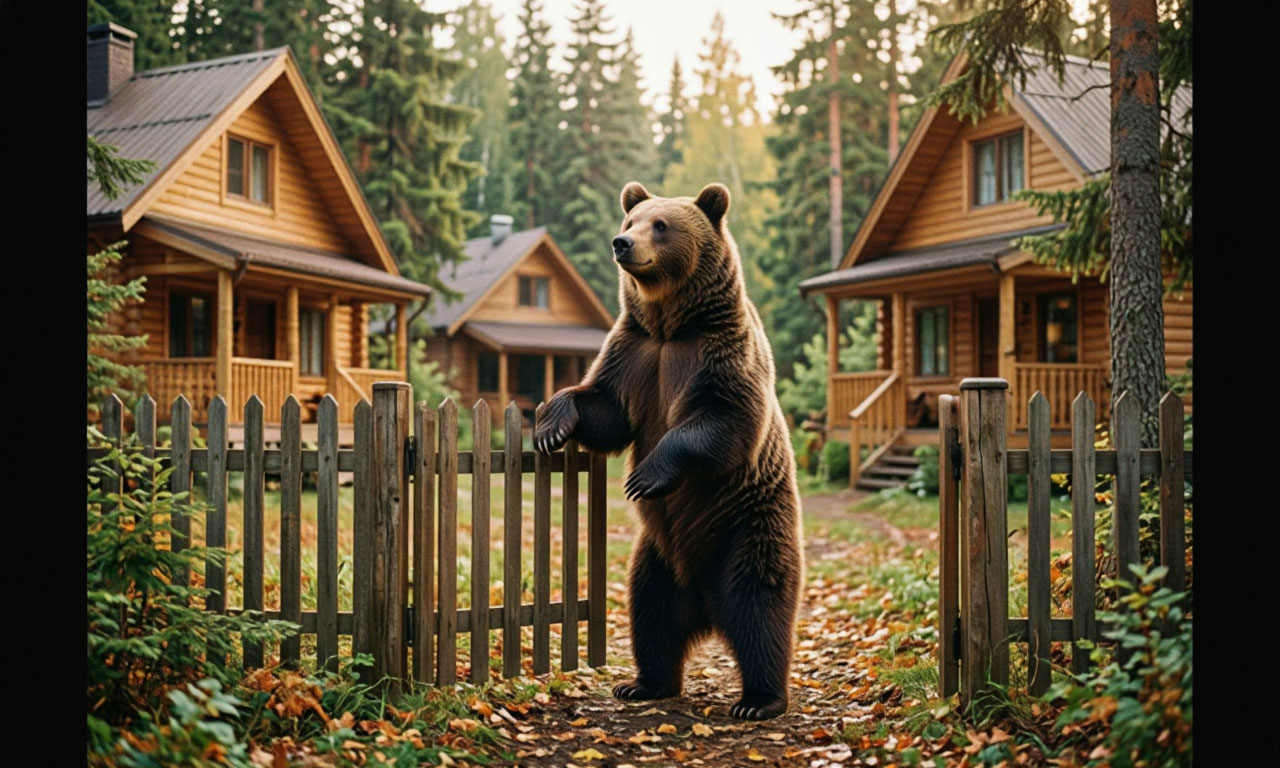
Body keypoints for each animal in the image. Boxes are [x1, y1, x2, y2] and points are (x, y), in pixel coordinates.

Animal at [534, 181, 804, 720]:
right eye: (631, 220)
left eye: (661, 225)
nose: (622, 243)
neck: (669, 323)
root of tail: (704, 600)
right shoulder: (635, 354)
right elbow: (605, 407)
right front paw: (552, 424)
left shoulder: (718, 352)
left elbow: (725, 419)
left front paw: (644, 476)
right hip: (655, 555)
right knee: (652, 612)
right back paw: (644, 683)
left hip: (748, 526)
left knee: (759, 605)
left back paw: (759, 700)